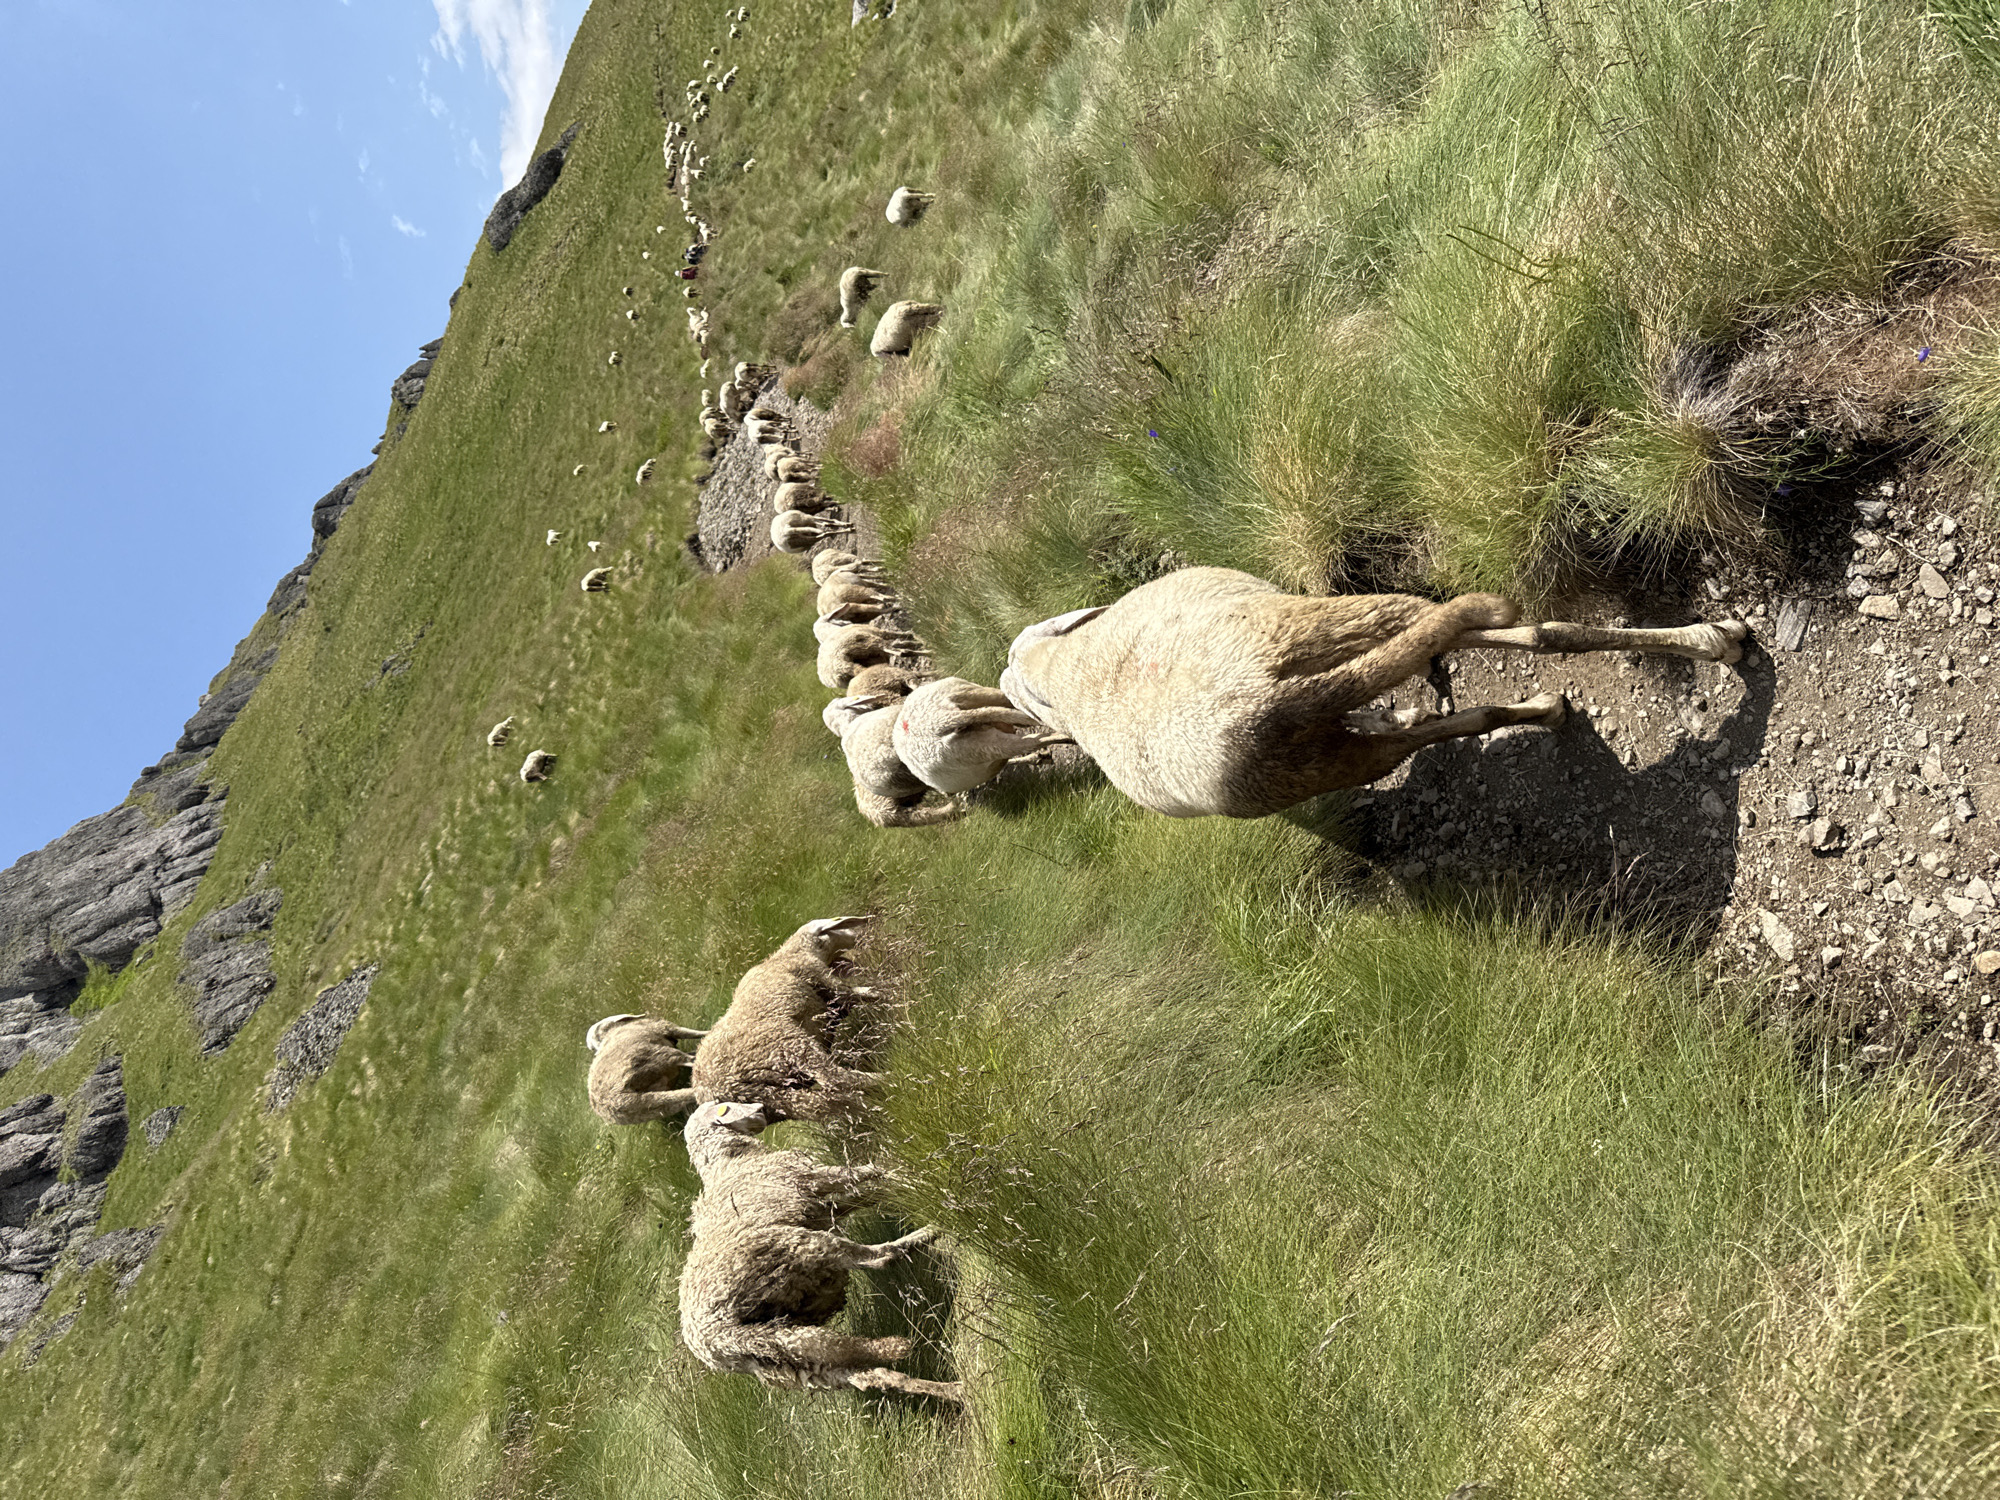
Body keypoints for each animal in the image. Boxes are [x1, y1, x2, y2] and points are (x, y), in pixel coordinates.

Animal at [678, 1101, 961, 1402]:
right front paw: (910, 1175)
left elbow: (864, 1195)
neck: (728, 1161)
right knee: (879, 1258)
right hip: (803, 1247)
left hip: (789, 1355)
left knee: (873, 1378)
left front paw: (903, 1182)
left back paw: (955, 1391)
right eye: (726, 1107)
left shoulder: (818, 1206)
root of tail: (715, 1344)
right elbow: (864, 1173)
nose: (761, 1109)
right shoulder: (813, 1177)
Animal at [691, 918, 886, 1124]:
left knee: (823, 1106)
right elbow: (868, 993)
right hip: (789, 1046)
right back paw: (885, 1080)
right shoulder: (824, 979)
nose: (872, 925)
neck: (784, 956)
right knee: (834, 1078)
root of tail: (715, 1090)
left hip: (773, 1098)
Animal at [999, 566, 1750, 819]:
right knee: (1507, 635)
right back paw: (1714, 640)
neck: (1054, 671)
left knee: (1444, 707)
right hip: (1331, 622)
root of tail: (1258, 704)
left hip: (1311, 759)